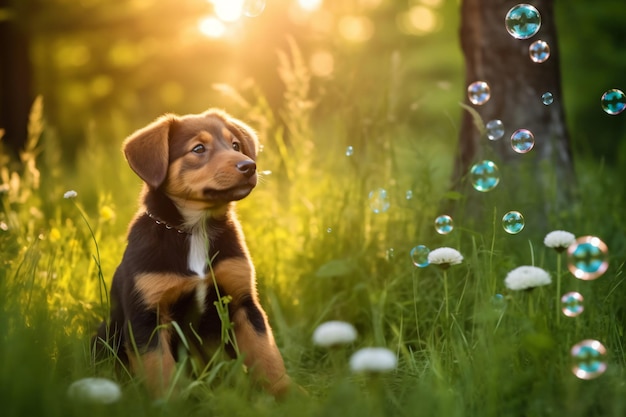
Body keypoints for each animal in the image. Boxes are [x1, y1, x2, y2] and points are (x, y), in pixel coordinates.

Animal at [93, 109, 290, 396]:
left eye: (235, 145)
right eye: (198, 149)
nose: (249, 166)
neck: (196, 230)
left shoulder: (244, 302)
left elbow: (268, 357)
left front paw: (290, 395)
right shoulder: (147, 318)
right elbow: (161, 373)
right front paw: (171, 402)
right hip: (104, 333)